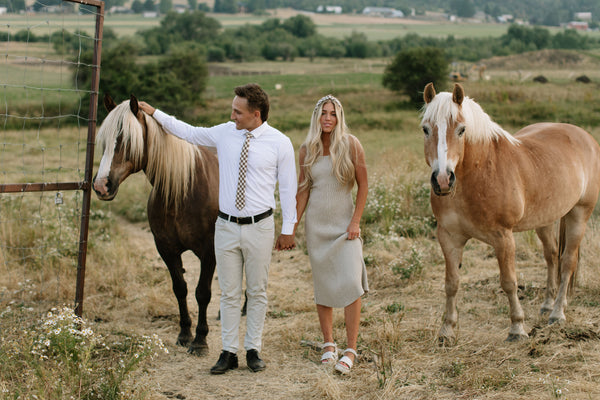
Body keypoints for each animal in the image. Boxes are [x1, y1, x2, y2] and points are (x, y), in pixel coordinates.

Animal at [92, 94, 218, 356]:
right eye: (104, 142)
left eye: (127, 140)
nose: (100, 186)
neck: (183, 190)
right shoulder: (166, 249)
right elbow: (180, 288)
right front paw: (184, 334)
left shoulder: (209, 251)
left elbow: (202, 293)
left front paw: (200, 340)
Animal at [420, 82, 600, 344]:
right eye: (425, 129)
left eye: (462, 130)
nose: (443, 180)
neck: (478, 173)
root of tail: (584, 136)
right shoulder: (448, 237)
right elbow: (451, 283)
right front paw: (447, 330)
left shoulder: (503, 238)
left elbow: (509, 282)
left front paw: (517, 328)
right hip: (545, 220)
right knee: (551, 255)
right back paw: (549, 304)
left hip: (579, 214)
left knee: (567, 261)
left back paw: (557, 314)